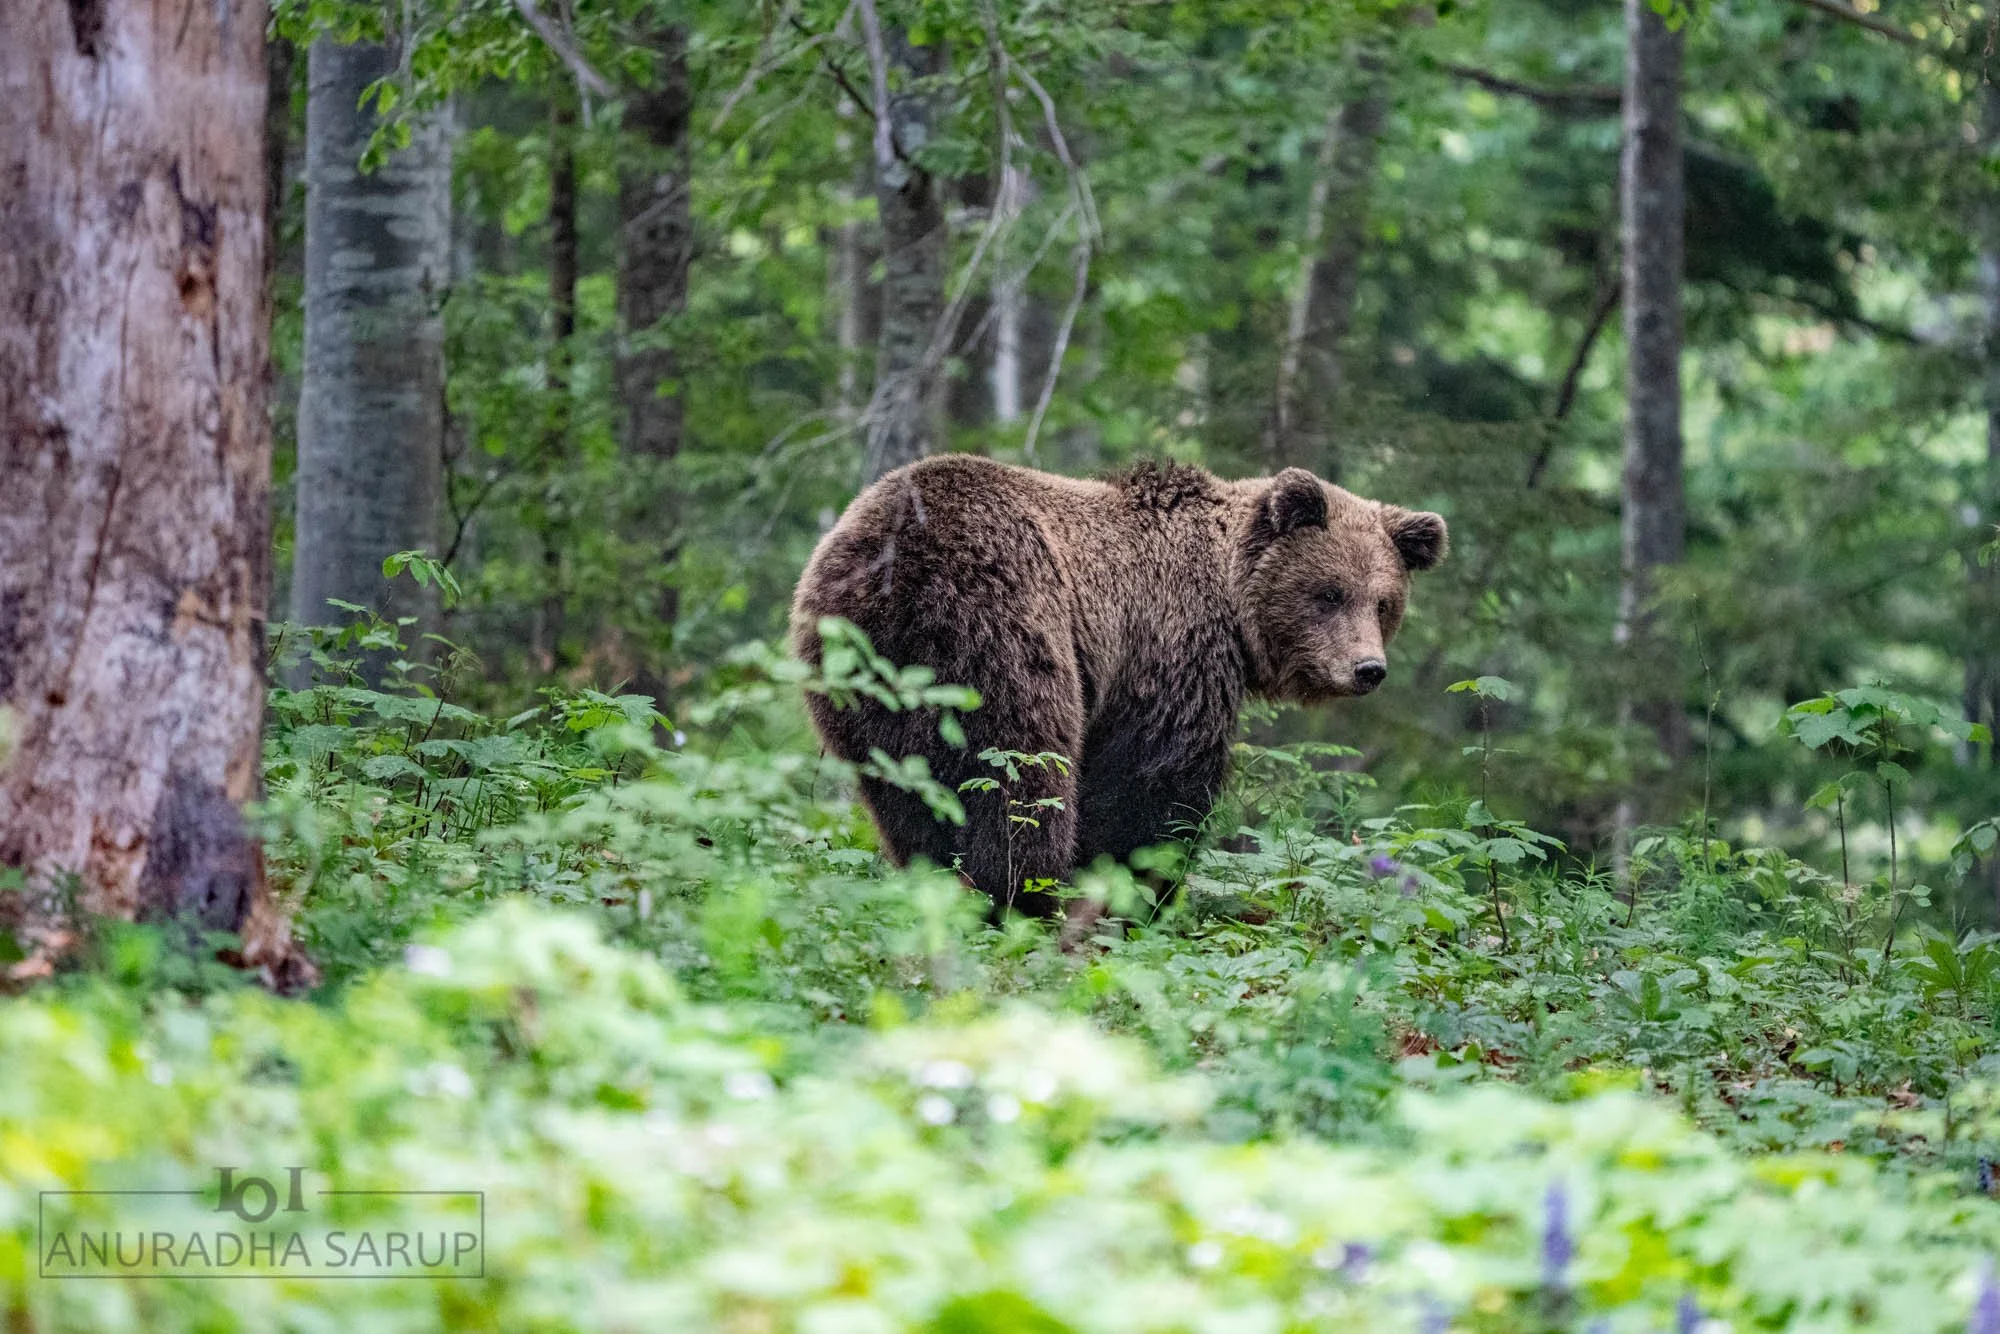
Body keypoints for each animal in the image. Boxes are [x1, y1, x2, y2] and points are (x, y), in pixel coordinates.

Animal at [791, 455, 1447, 916]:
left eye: (1383, 602)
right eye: (1329, 593)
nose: (1368, 668)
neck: (1231, 607)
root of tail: (895, 557)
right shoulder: (1165, 651)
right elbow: (1150, 785)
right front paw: (1135, 892)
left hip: (861, 674)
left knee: (907, 793)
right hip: (1004, 626)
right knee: (1021, 774)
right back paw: (1023, 898)